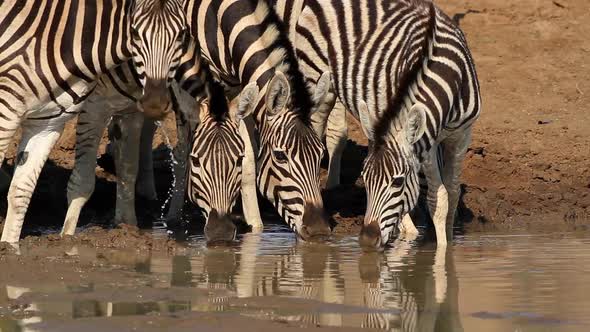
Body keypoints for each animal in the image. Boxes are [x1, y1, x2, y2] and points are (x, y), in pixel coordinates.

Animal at [131, 0, 336, 240]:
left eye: (320, 154)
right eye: (280, 156)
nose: (319, 231)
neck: (220, 18)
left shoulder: (239, 87)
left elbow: (247, 157)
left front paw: (255, 227)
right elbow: (184, 151)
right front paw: (174, 217)